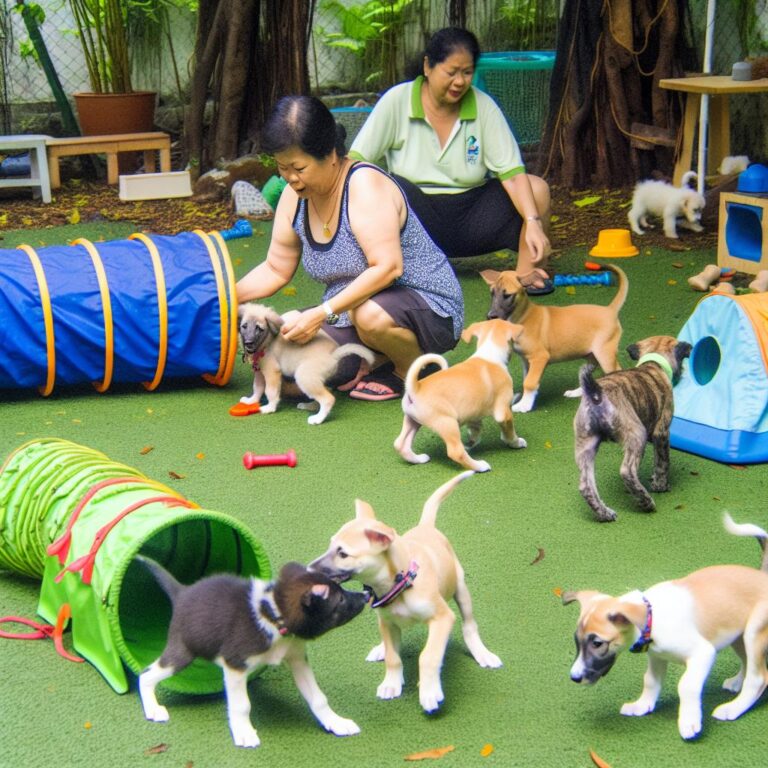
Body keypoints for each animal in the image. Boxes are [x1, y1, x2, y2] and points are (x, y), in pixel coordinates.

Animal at [136, 560, 370, 752]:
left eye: (341, 589)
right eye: (340, 599)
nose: (366, 595)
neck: (276, 614)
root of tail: (182, 592)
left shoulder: (298, 659)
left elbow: (319, 698)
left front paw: (336, 722)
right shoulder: (235, 664)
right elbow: (242, 706)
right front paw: (244, 733)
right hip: (182, 652)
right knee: (145, 675)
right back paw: (153, 709)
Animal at [238, 302, 374, 426]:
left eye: (259, 328)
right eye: (244, 326)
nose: (248, 343)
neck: (267, 341)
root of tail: (333, 355)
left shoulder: (272, 371)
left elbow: (270, 391)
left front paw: (270, 408)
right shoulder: (260, 371)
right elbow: (257, 387)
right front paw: (251, 401)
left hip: (304, 376)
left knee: (328, 399)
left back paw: (317, 419)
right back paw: (309, 406)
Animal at [308, 472, 500, 716]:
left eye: (343, 554)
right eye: (330, 545)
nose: (309, 569)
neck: (400, 584)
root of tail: (425, 526)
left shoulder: (443, 618)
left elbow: (428, 656)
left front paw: (429, 691)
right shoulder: (387, 622)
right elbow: (393, 657)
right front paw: (391, 682)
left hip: (461, 589)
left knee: (469, 625)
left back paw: (482, 653)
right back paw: (380, 648)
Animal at [396, 318, 528, 474]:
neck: (489, 355)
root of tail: (415, 388)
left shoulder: (473, 414)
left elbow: (475, 430)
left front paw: (470, 444)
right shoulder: (503, 413)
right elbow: (509, 431)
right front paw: (515, 442)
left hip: (413, 420)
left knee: (400, 444)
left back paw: (419, 459)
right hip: (448, 423)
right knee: (456, 452)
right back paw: (480, 466)